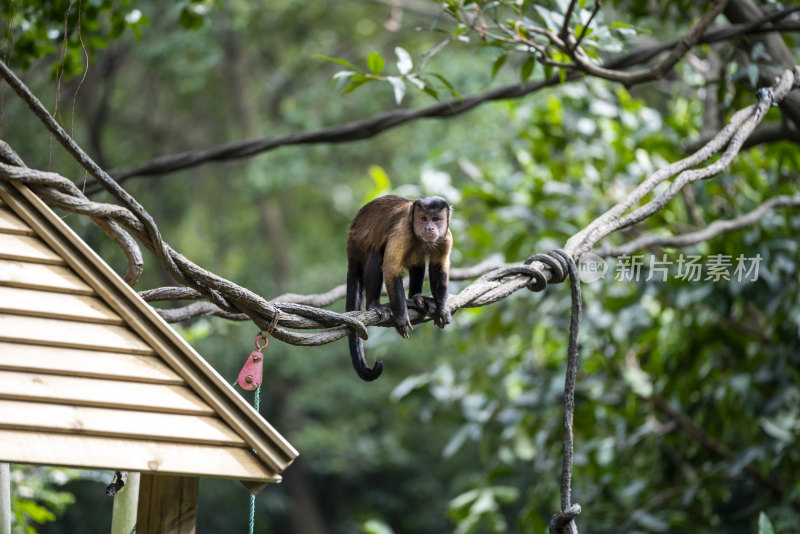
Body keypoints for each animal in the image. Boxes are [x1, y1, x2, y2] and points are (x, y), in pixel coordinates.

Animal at [346, 195, 454, 384]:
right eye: (423, 218)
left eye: (435, 219)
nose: (429, 227)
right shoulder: (403, 231)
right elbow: (391, 269)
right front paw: (402, 316)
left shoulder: (446, 237)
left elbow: (439, 268)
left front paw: (441, 308)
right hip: (357, 248)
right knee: (376, 252)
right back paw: (374, 305)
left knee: (418, 259)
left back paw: (416, 298)